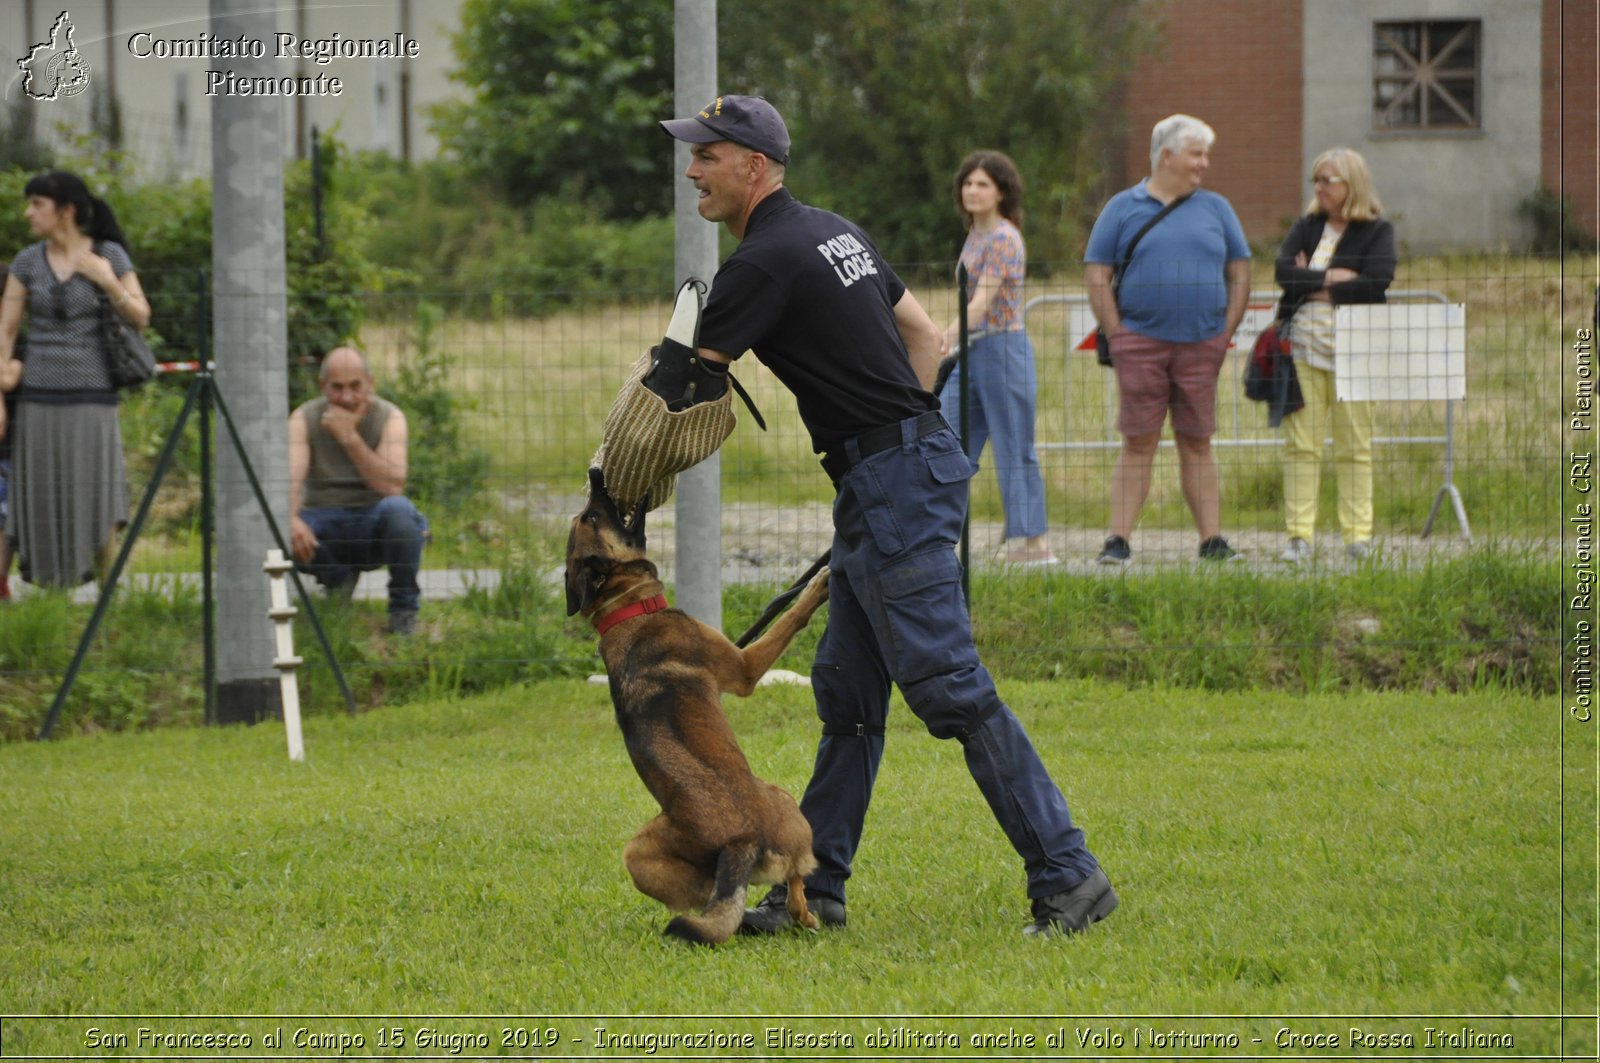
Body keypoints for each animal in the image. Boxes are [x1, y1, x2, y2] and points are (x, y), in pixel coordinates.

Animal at [566, 470, 832, 941]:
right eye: (593, 516)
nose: (597, 474)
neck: (626, 611)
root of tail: (739, 842)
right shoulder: (745, 668)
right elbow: (788, 619)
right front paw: (817, 586)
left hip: (637, 855)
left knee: (705, 900)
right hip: (786, 801)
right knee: (797, 880)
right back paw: (805, 915)